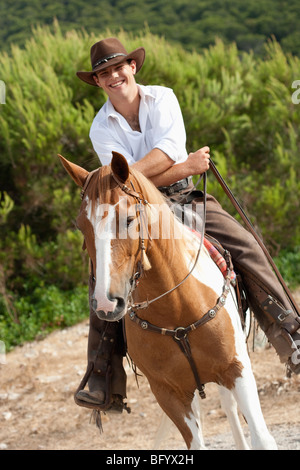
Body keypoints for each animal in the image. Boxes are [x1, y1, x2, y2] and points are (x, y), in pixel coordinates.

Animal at [58, 152, 276, 450]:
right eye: (82, 226)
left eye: (128, 219)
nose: (106, 303)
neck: (177, 308)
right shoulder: (169, 393)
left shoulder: (236, 368)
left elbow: (261, 437)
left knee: (230, 407)